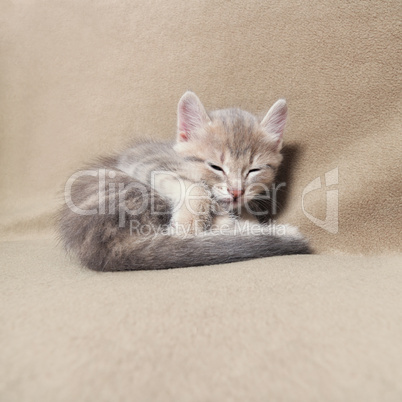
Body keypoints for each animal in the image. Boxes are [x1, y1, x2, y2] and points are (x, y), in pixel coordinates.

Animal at [59, 92, 310, 270]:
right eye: (216, 167)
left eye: (253, 170)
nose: (236, 191)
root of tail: (105, 249)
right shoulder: (143, 160)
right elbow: (196, 189)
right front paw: (188, 227)